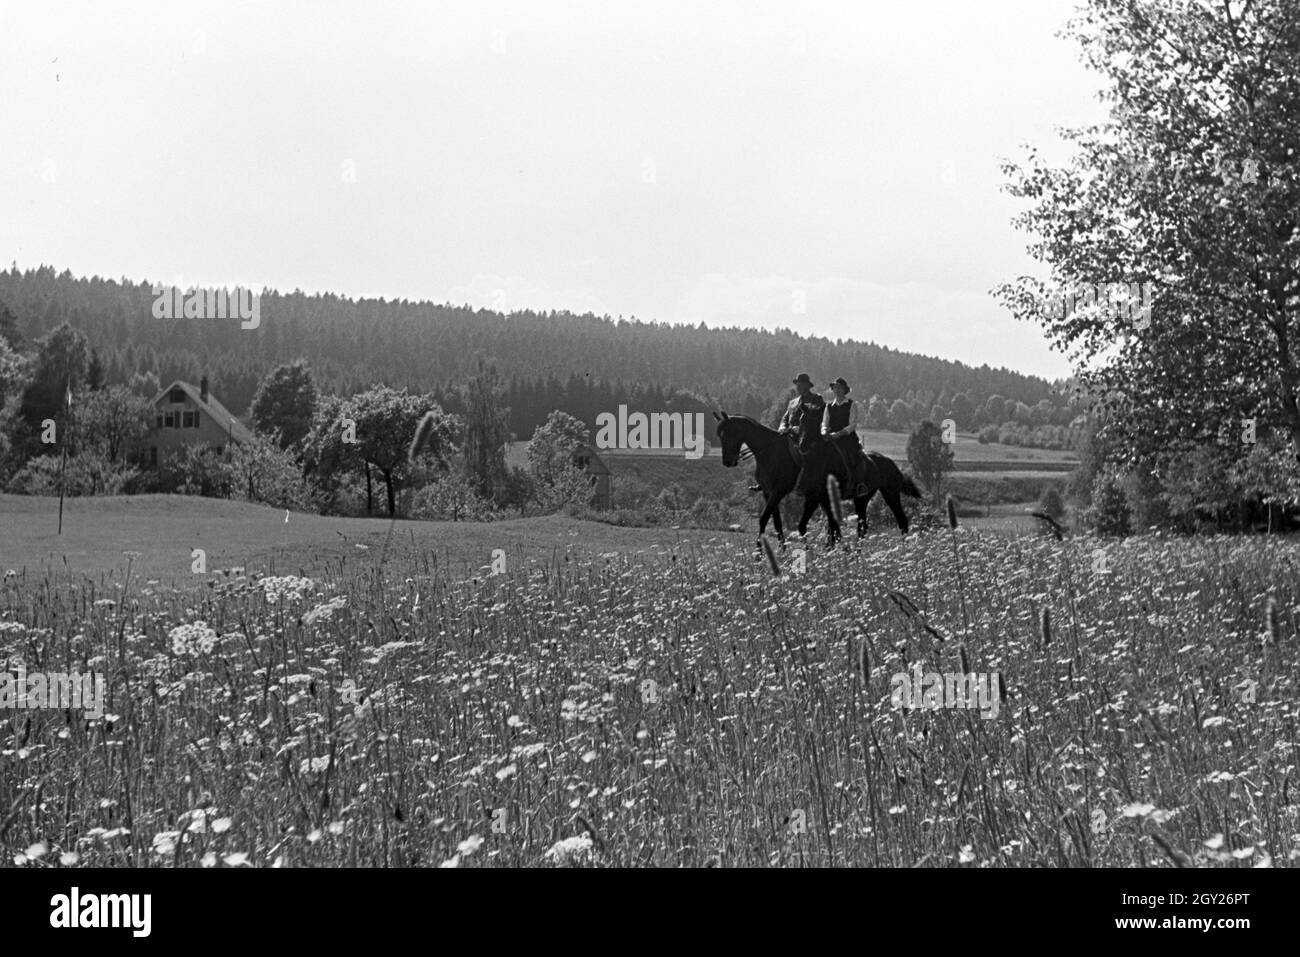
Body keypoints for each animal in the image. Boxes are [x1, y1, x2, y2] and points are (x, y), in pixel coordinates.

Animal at [717, 413, 837, 546]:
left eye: (731, 432)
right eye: (720, 435)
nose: (728, 462)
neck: (768, 452)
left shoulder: (778, 492)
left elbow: (764, 518)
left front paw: (759, 550)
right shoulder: (768, 492)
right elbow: (777, 523)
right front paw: (782, 549)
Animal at [790, 416, 925, 538]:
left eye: (814, 422)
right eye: (801, 420)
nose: (802, 445)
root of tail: (888, 460)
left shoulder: (827, 499)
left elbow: (833, 530)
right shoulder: (813, 498)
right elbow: (804, 527)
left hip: (891, 493)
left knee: (902, 520)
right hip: (862, 498)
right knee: (862, 526)